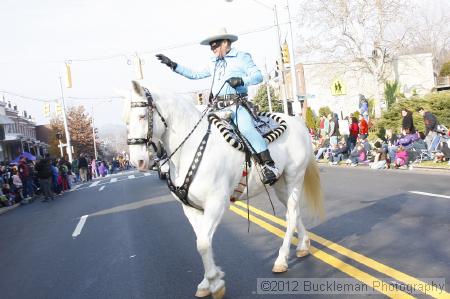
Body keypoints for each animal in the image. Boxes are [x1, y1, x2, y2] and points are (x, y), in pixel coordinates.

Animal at [123, 81, 324, 299]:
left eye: (142, 116)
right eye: (125, 121)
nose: (137, 161)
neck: (191, 149)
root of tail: (297, 122)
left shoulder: (216, 203)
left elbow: (203, 243)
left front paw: (215, 283)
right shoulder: (191, 208)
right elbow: (201, 241)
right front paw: (207, 282)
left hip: (295, 176)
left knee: (292, 213)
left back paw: (281, 259)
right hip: (280, 184)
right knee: (293, 213)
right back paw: (303, 245)